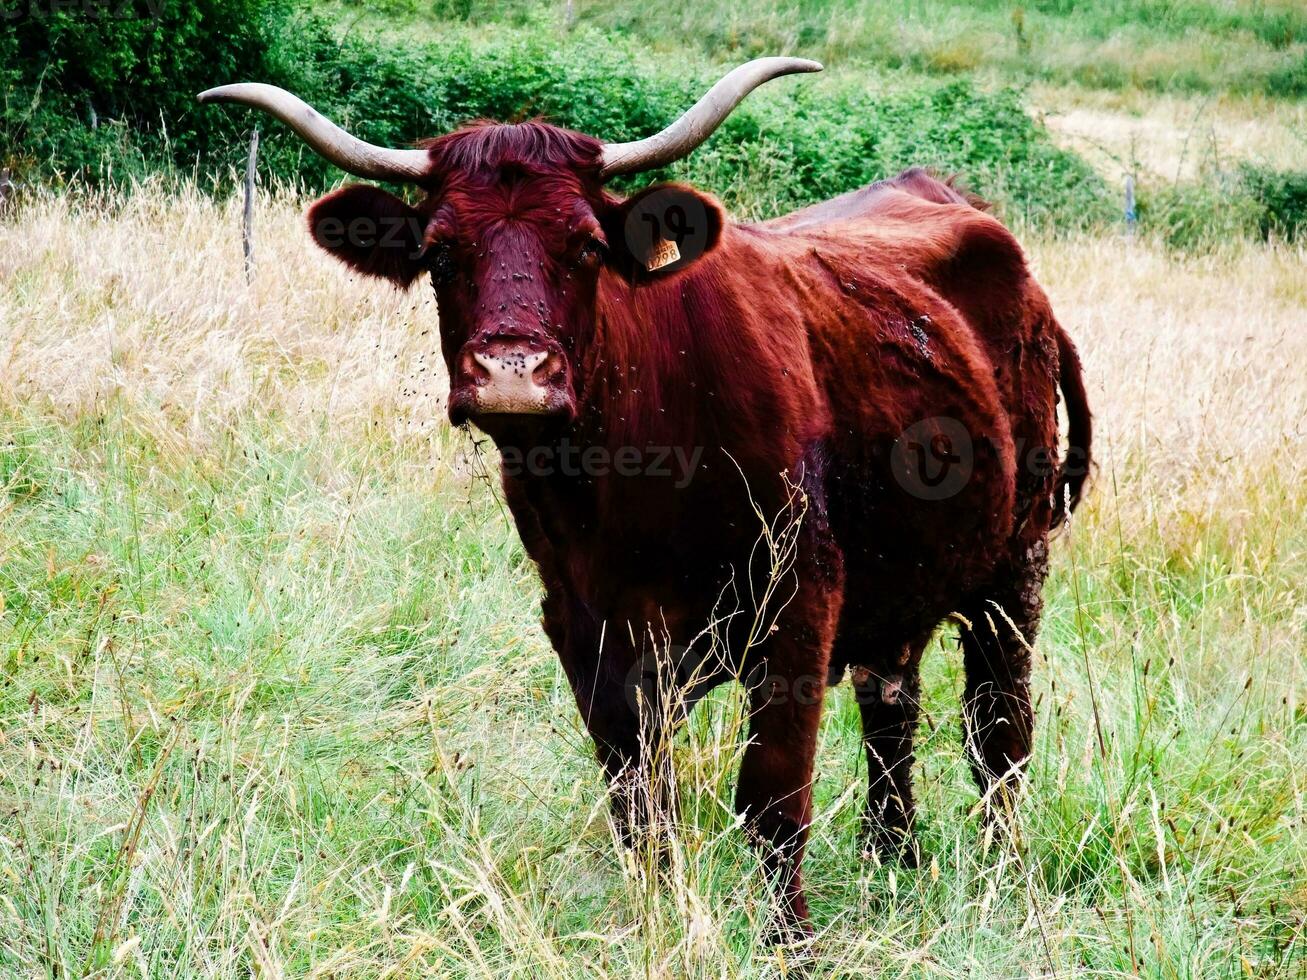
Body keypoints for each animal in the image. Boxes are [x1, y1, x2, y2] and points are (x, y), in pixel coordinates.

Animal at [198, 57, 1087, 940]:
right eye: (442, 253)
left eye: (588, 247)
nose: (513, 373)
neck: (627, 484)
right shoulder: (582, 622)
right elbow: (637, 800)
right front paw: (657, 914)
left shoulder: (798, 602)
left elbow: (772, 799)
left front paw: (789, 942)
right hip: (905, 578)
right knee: (891, 712)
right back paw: (889, 859)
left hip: (1014, 569)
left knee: (997, 734)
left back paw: (999, 878)